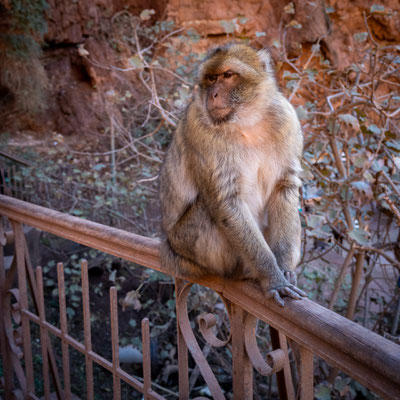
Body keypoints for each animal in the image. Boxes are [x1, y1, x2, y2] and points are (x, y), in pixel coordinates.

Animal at [158, 43, 304, 306]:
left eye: (227, 75)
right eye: (211, 78)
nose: (213, 94)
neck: (247, 121)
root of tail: (171, 247)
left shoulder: (287, 120)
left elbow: (284, 188)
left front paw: (285, 269)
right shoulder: (198, 127)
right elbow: (226, 202)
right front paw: (273, 277)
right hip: (189, 246)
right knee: (208, 211)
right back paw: (244, 272)